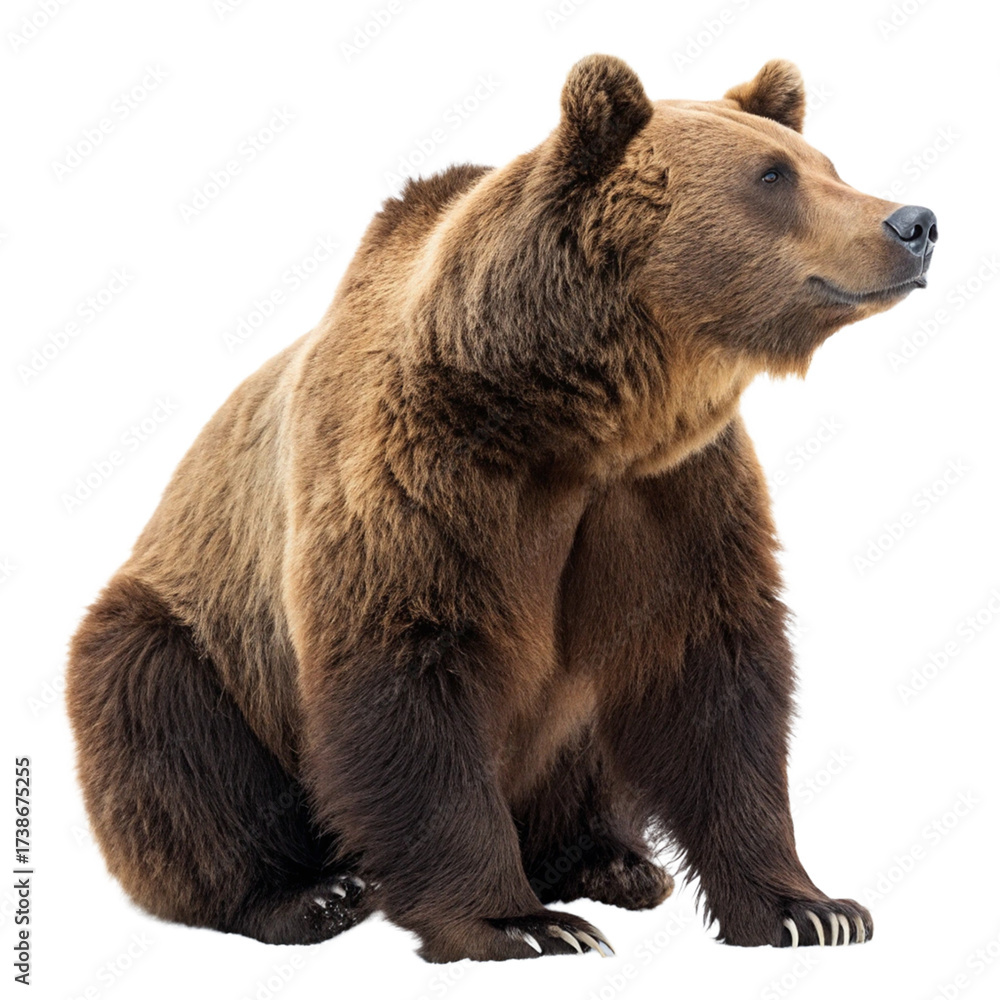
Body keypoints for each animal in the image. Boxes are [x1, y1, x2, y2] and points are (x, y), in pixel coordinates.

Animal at [66, 55, 936, 961]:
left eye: (827, 164)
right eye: (772, 176)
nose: (915, 222)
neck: (578, 423)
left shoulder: (675, 492)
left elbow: (710, 676)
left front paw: (812, 908)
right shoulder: (428, 480)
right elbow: (410, 678)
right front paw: (521, 922)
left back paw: (613, 862)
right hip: (191, 637)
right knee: (168, 729)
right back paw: (308, 895)